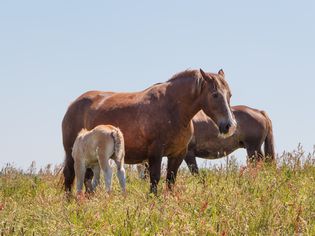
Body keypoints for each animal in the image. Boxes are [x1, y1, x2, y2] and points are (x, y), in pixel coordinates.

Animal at [62, 68, 237, 194]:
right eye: (215, 95)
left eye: (229, 94)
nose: (230, 125)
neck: (172, 109)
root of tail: (73, 104)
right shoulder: (155, 153)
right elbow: (155, 178)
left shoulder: (178, 154)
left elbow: (170, 180)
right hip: (73, 154)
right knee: (69, 176)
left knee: (87, 178)